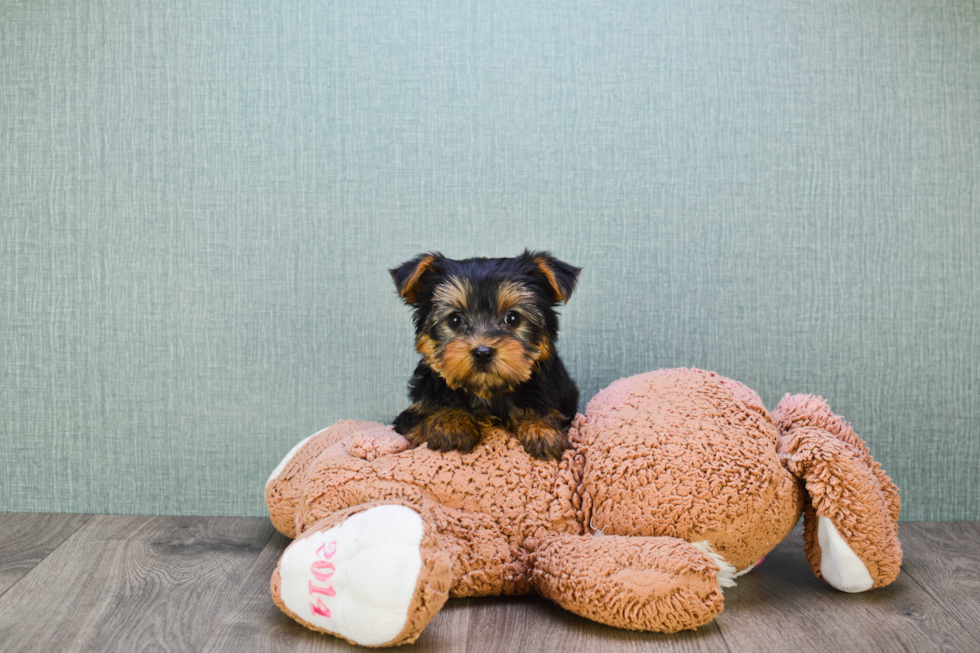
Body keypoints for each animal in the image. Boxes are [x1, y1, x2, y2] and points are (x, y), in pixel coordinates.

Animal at [390, 250, 580, 458]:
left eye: (513, 318)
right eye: (455, 319)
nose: (482, 352)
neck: (486, 392)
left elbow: (547, 412)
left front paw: (542, 429)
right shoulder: (413, 415)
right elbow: (426, 418)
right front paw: (451, 423)